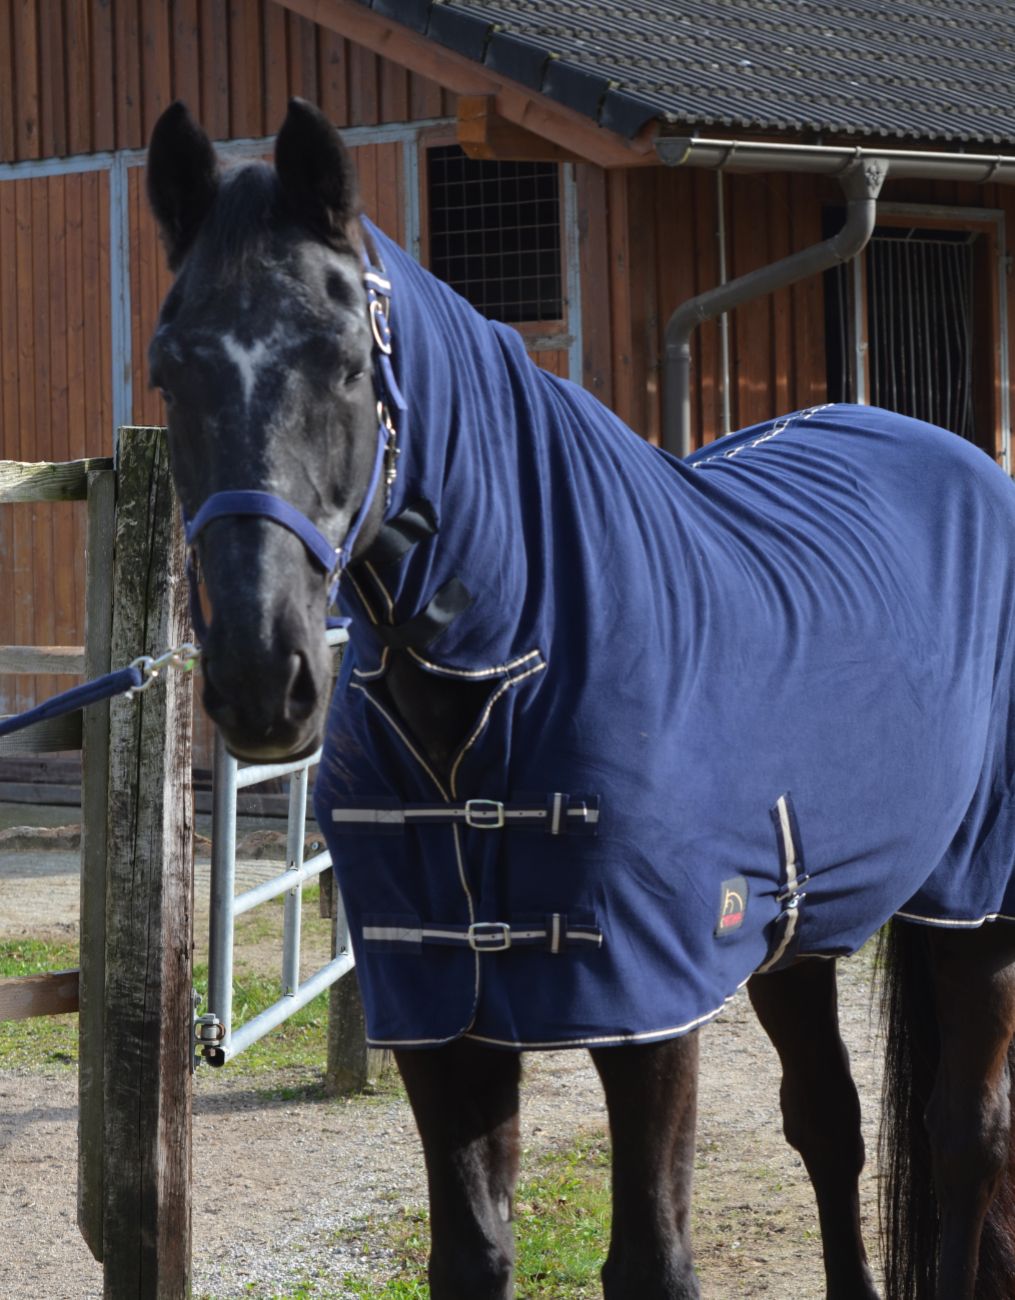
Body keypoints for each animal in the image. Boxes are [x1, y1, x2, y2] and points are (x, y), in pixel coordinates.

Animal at [146, 98, 1015, 1300]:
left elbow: (650, 1257)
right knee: (829, 1126)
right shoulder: (443, 1015)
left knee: (962, 1136)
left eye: (345, 362)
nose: (262, 678)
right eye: (168, 372)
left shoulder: (648, 1005)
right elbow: (469, 1253)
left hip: (976, 905)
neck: (500, 676)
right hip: (804, 930)